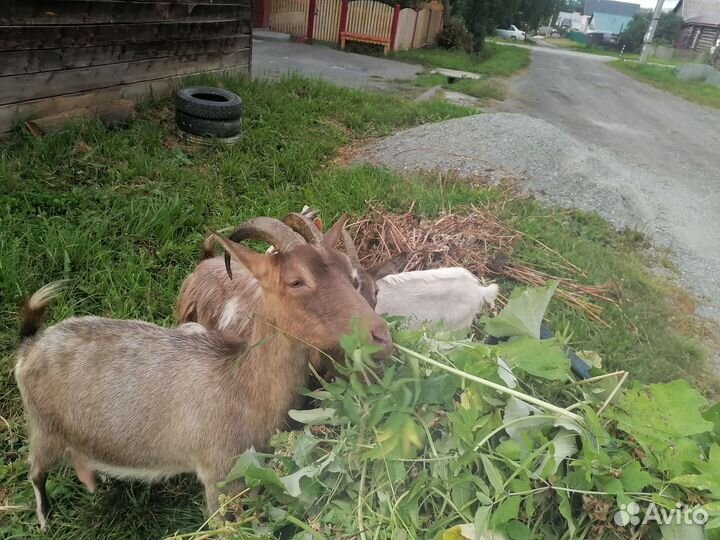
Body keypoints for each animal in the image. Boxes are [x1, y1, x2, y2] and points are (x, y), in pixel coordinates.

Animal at [15, 219, 393, 530]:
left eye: (349, 272)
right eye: (296, 280)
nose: (380, 335)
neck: (241, 384)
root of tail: (30, 347)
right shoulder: (218, 473)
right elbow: (221, 524)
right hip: (44, 428)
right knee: (35, 470)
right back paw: (44, 520)